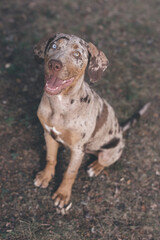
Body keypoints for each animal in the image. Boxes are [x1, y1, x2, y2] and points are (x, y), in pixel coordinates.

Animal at [32, 33, 150, 214]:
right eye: (54, 46)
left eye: (77, 55)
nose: (54, 64)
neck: (60, 104)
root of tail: (121, 131)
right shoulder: (48, 134)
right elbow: (51, 158)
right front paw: (46, 176)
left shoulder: (78, 149)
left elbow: (70, 172)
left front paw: (62, 194)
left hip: (109, 152)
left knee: (104, 161)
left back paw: (95, 167)